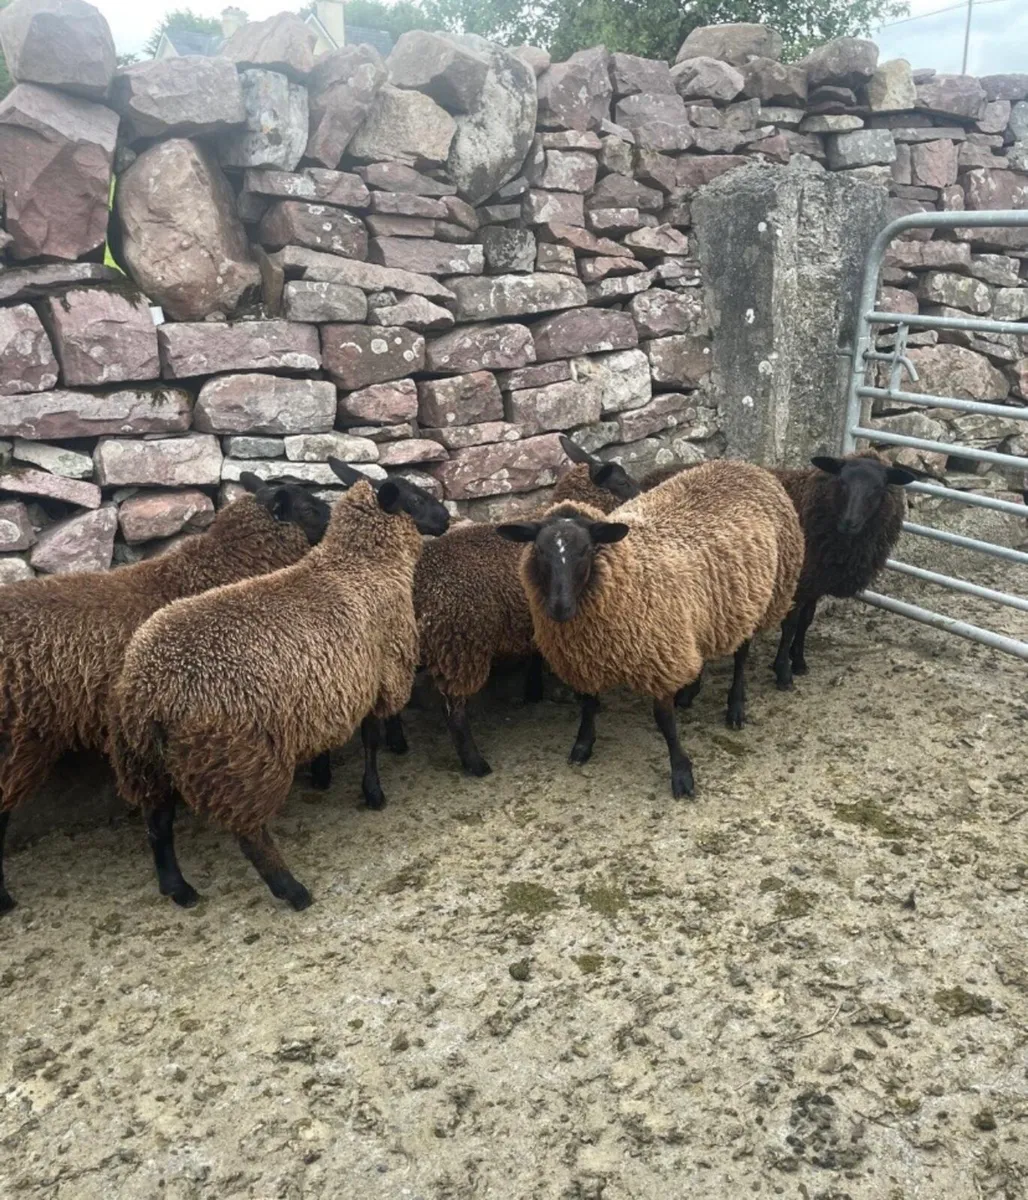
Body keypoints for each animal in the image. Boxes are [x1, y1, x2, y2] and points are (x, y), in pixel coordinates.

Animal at [109, 461, 450, 912]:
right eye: (414, 497)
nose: (446, 518)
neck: (360, 568)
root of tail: (148, 689)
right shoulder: (375, 677)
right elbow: (371, 740)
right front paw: (373, 793)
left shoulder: (331, 688)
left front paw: (323, 775)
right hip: (237, 758)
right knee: (248, 834)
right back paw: (291, 890)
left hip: (146, 761)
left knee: (158, 824)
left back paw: (178, 888)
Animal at [384, 435, 639, 778]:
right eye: (622, 481)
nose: (642, 492)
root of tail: (415, 585)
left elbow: (535, 656)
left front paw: (533, 693)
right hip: (459, 646)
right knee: (455, 713)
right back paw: (476, 765)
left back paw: (396, 744)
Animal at [497, 459, 804, 798]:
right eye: (539, 551)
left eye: (586, 550)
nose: (559, 608)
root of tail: (744, 465)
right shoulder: (586, 659)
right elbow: (588, 705)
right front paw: (582, 745)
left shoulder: (659, 655)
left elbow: (664, 721)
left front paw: (682, 774)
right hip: (717, 610)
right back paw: (691, 691)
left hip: (760, 594)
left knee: (741, 654)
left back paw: (735, 708)